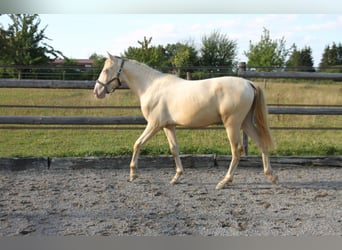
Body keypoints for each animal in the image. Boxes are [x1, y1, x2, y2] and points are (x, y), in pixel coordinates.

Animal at [94, 53, 278, 188]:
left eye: (106, 69)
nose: (97, 91)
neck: (151, 86)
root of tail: (248, 83)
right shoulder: (168, 126)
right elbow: (174, 149)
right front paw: (176, 177)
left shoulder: (154, 125)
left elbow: (137, 144)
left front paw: (133, 174)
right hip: (245, 123)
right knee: (261, 144)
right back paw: (271, 176)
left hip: (232, 124)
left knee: (237, 150)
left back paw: (224, 181)